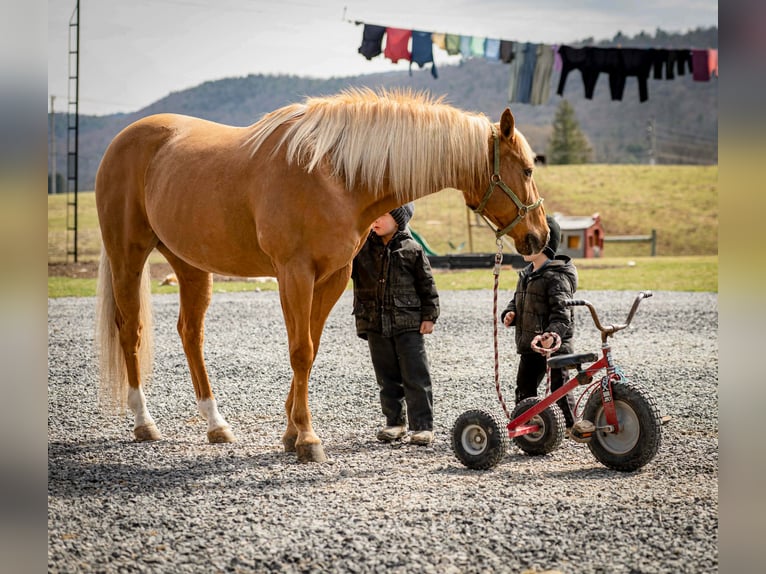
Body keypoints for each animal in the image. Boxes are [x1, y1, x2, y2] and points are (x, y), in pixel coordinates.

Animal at [94, 88, 548, 463]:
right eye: (527, 170)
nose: (540, 236)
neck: (334, 175)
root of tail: (122, 141)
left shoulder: (332, 277)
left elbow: (309, 351)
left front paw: (291, 433)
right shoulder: (294, 274)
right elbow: (300, 351)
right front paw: (308, 440)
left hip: (190, 264)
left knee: (191, 334)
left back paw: (216, 424)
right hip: (128, 255)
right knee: (130, 329)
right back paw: (144, 422)